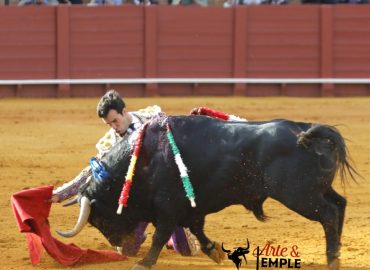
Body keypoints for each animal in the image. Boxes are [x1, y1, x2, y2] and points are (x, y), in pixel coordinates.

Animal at [57, 116, 356, 270]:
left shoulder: (167, 206)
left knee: (329, 213)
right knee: (340, 204)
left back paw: (332, 259)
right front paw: (215, 252)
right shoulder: (191, 207)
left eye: (99, 219)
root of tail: (306, 131)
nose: (122, 246)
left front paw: (143, 263)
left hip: (299, 195)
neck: (143, 158)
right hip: (316, 190)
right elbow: (198, 230)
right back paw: (338, 252)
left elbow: (160, 235)